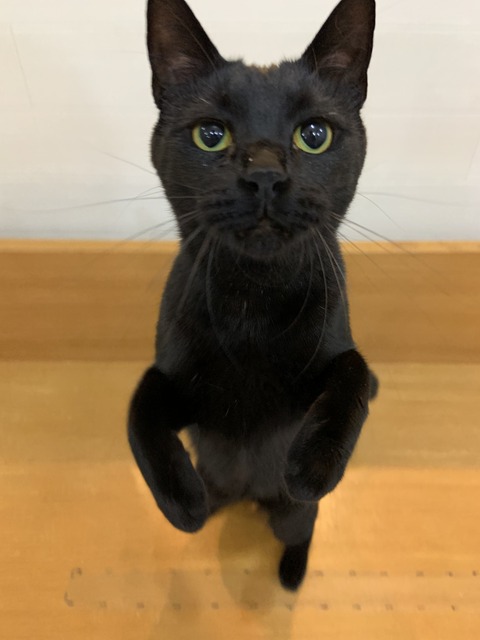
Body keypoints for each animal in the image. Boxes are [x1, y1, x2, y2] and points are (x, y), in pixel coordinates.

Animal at [128, 0, 378, 591]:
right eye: (210, 135)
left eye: (314, 134)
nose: (264, 175)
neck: (252, 303)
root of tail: (249, 495)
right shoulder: (187, 395)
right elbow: (140, 403)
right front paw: (178, 500)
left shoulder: (325, 357)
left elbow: (354, 369)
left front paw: (314, 465)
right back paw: (206, 501)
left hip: (288, 516)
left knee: (298, 526)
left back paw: (291, 566)